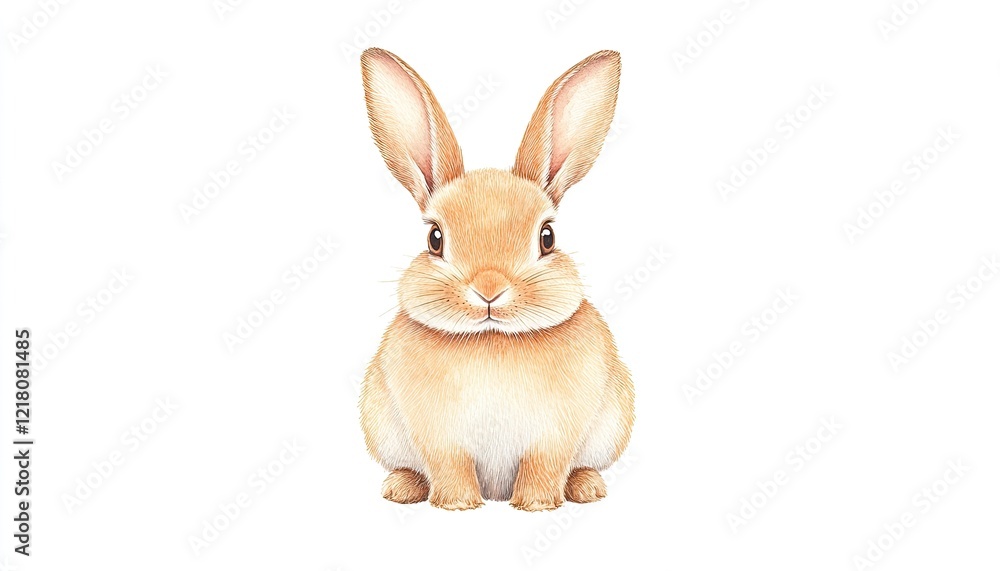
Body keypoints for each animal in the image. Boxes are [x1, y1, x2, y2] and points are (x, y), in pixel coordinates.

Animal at [359, 48, 634, 511]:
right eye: (434, 239)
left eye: (547, 237)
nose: (489, 289)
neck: (492, 340)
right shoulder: (440, 440)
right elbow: (450, 468)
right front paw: (457, 505)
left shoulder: (553, 437)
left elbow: (544, 467)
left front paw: (536, 505)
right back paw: (400, 488)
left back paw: (587, 488)